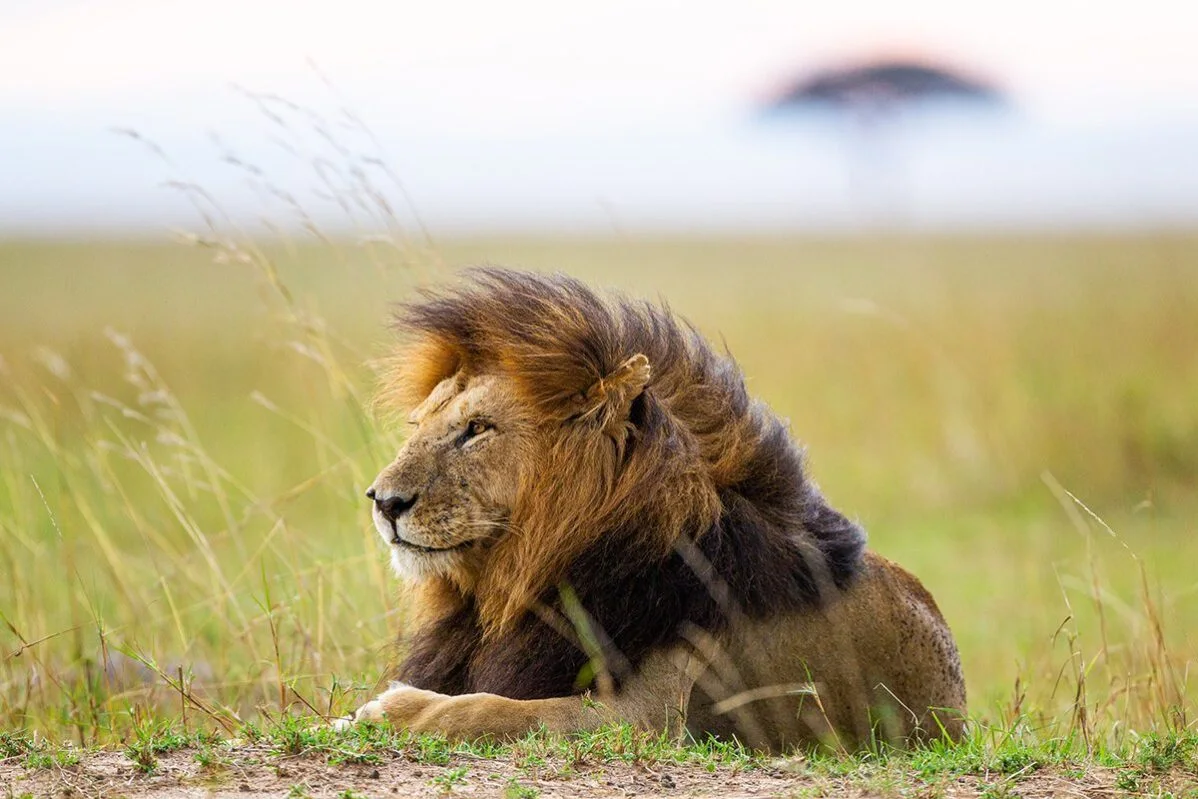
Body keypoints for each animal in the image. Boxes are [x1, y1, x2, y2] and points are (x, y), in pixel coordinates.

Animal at [346, 267, 966, 751]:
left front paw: (385, 710)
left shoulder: (646, 718)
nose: (384, 501)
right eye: (417, 425)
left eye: (476, 428)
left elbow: (492, 709)